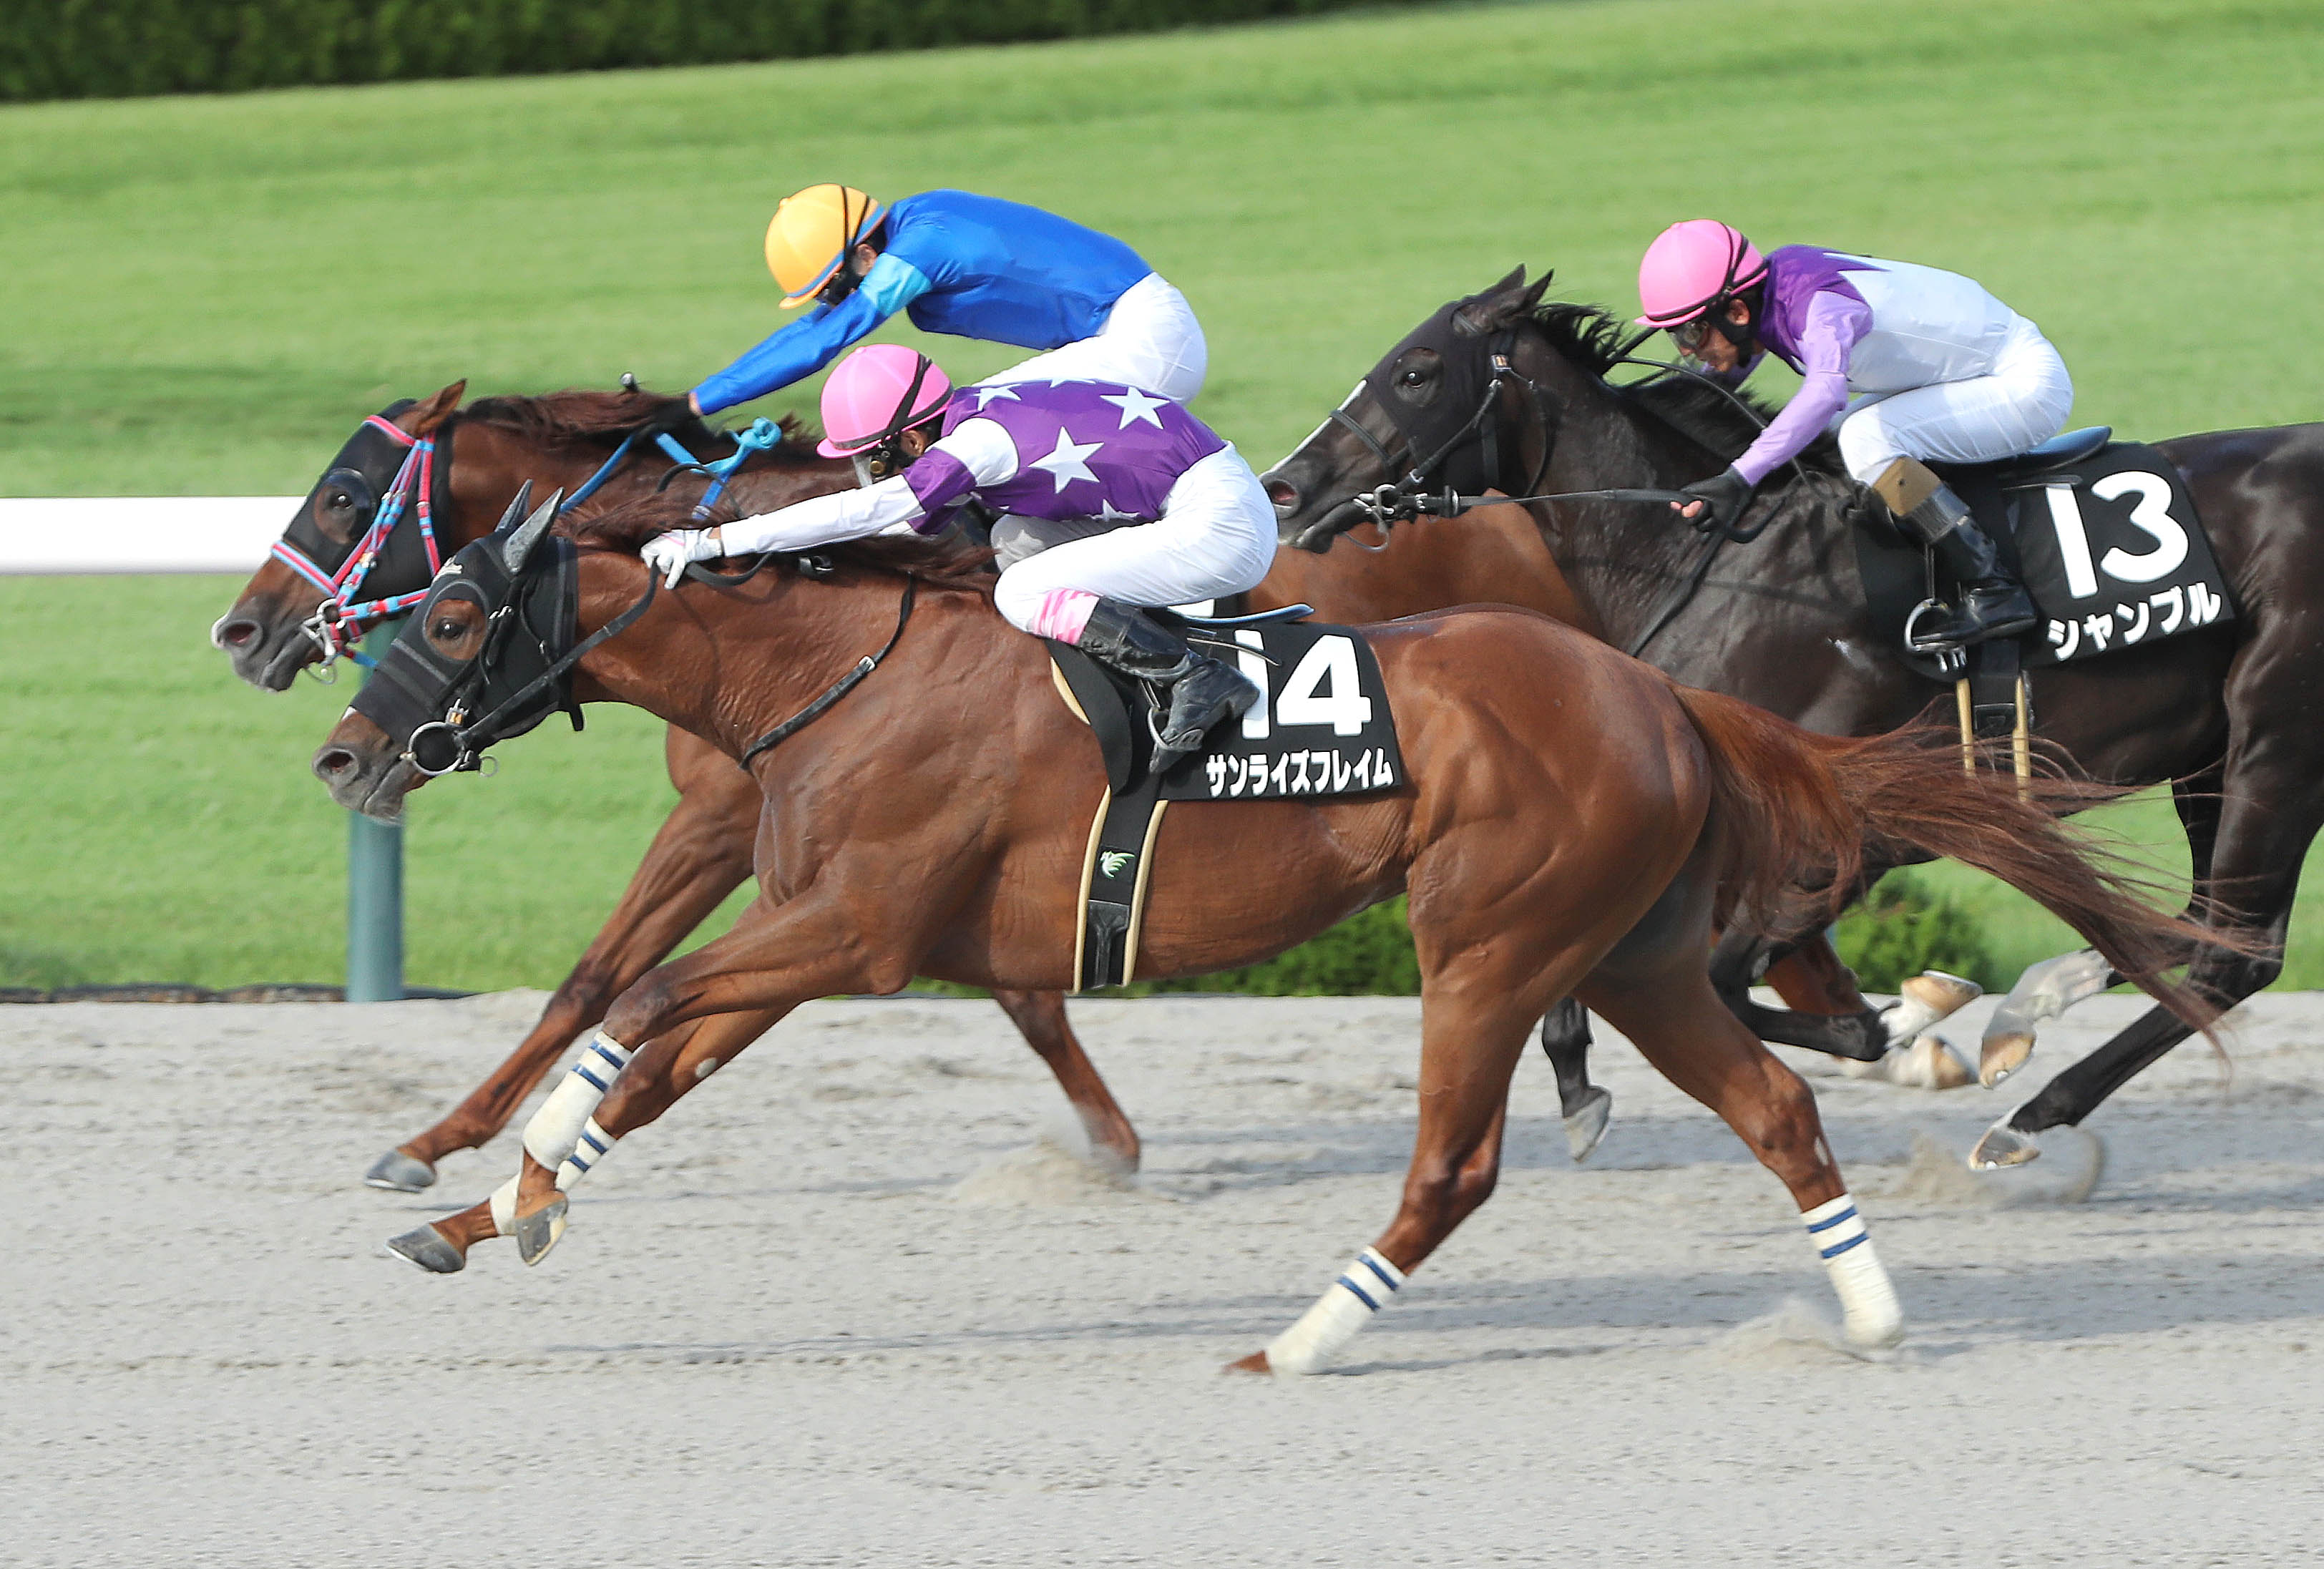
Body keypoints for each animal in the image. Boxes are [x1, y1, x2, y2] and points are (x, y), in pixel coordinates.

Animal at [212, 383, 1146, 1183]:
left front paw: (1112, 1140)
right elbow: (591, 980)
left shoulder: (732, 822)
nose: (241, 632)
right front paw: (435, 1141)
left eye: (340, 497)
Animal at [305, 487, 2222, 1369]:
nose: (338, 751)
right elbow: (650, 1052)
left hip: (1494, 942)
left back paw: (1301, 1340)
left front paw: (517, 1177)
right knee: (1777, 1102)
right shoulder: (810, 924)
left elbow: (639, 1002)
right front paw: (487, 1211)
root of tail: (1658, 693)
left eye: (454, 612)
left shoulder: (853, 926)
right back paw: (1876, 1309)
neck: (835, 672)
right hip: (1631, 949)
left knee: (1458, 1163)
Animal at [1261, 266, 2324, 1168]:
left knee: (2232, 954)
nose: (1286, 487)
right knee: (2202, 933)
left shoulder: (1839, 834)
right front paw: (1576, 1084)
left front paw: (1908, 1020)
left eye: (1415, 369)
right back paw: (2026, 1014)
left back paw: (2024, 1114)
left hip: (2275, 743)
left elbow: (1733, 985)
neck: (1725, 565)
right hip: (2210, 760)